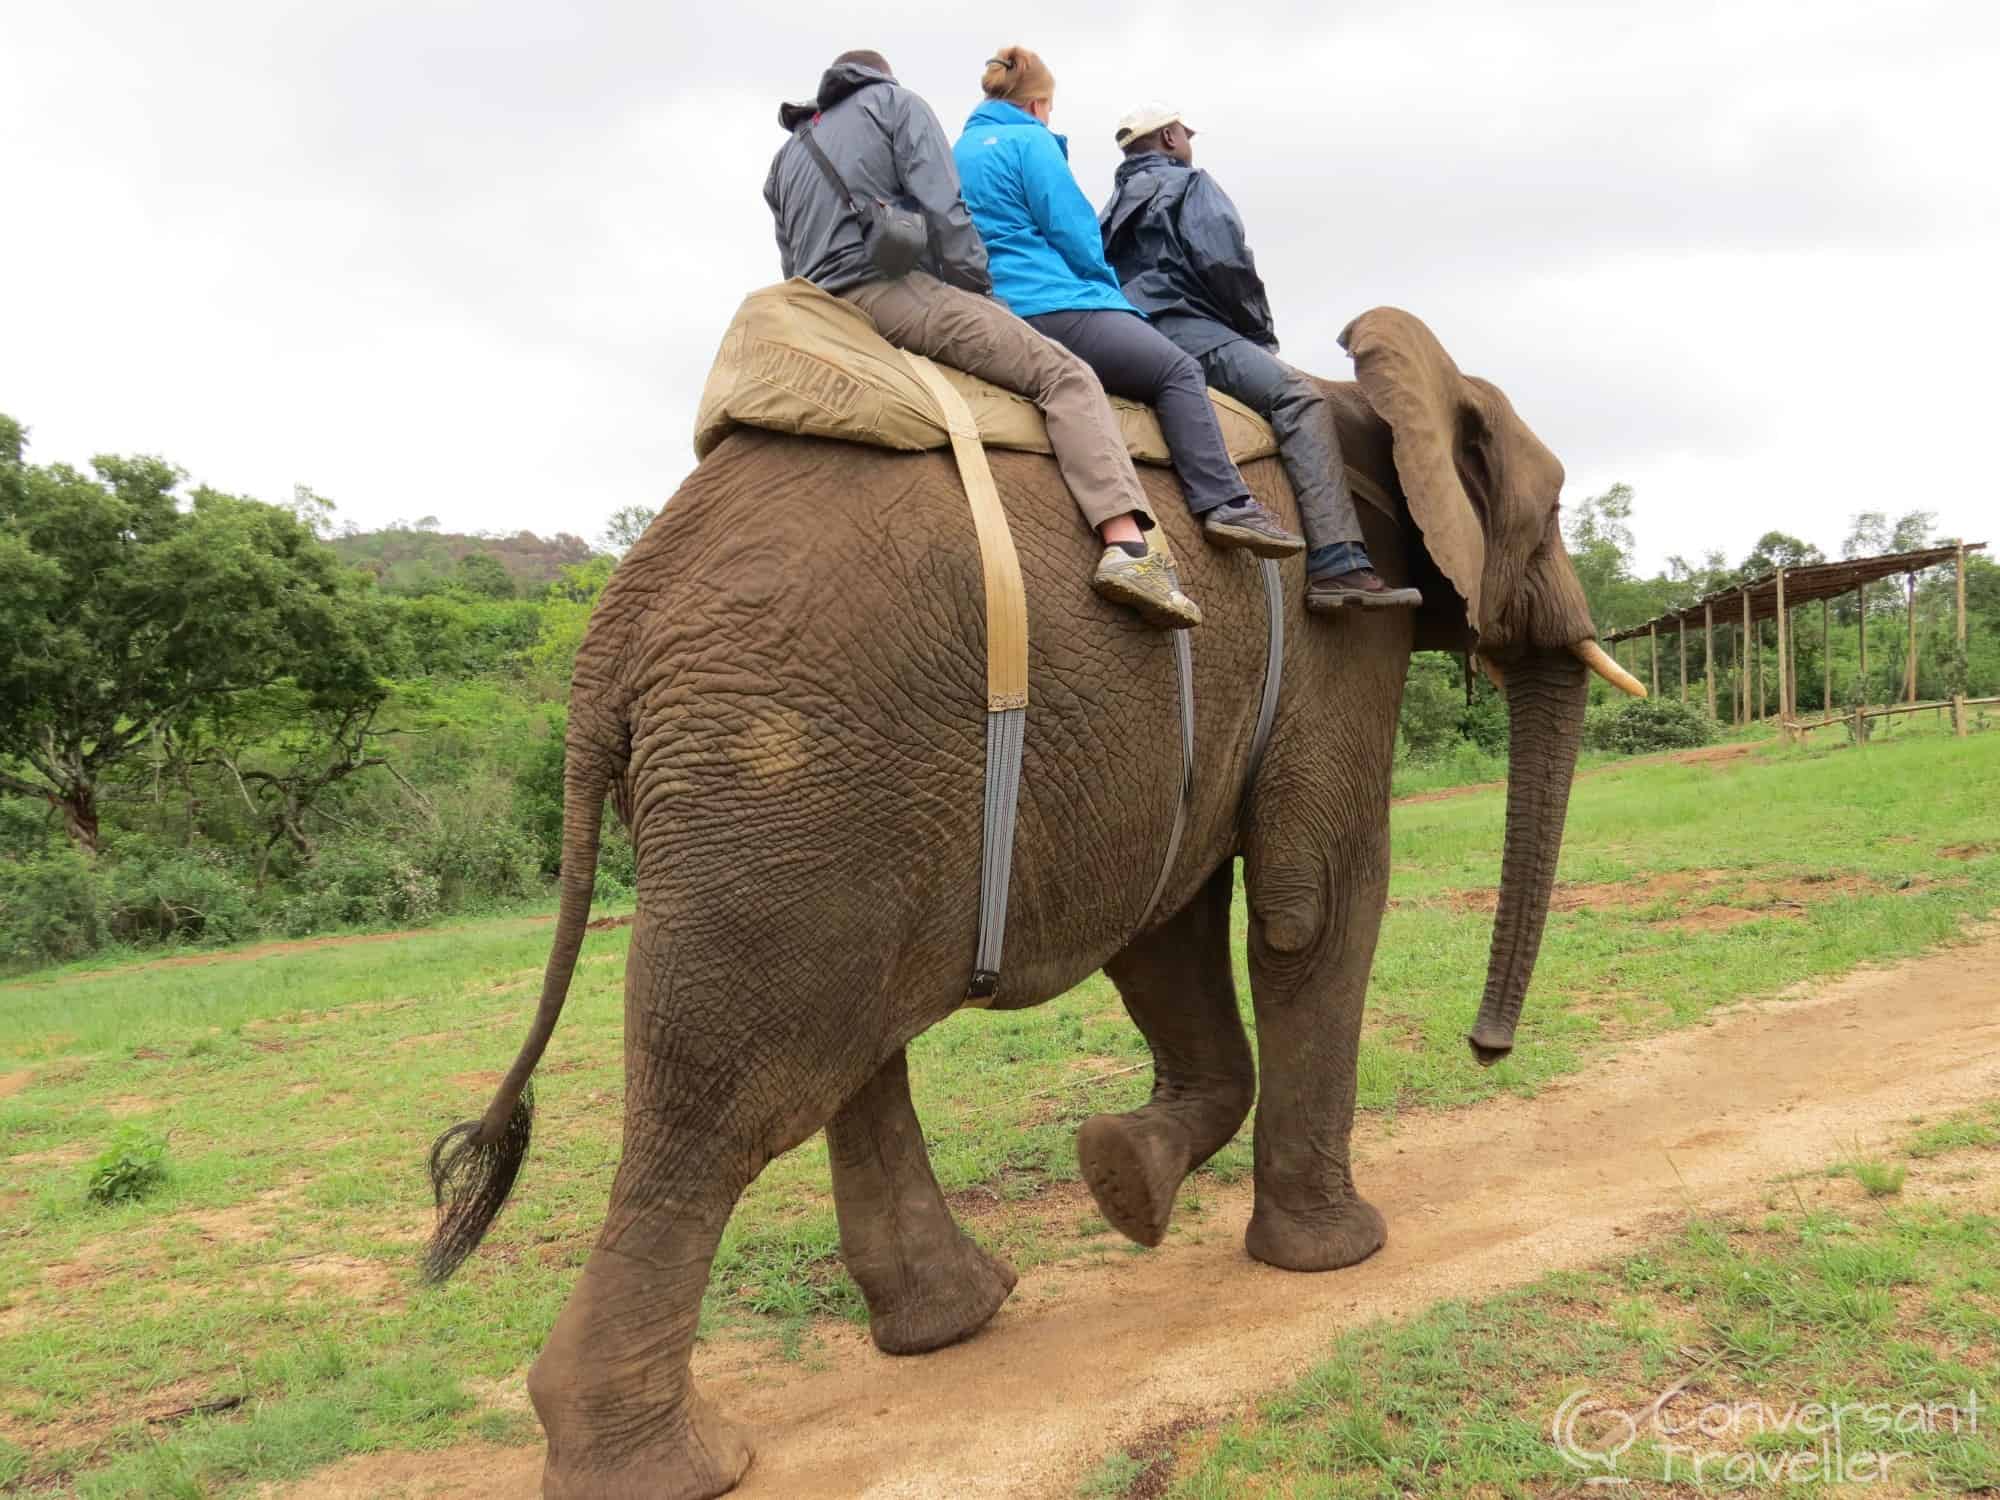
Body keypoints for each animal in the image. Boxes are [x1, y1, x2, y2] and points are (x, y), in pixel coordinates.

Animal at [420, 306, 1640, 1499]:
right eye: (1552, 511)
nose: (1485, 1047)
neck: (1349, 393)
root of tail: (607, 642)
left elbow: (1167, 924)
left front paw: (1122, 1180)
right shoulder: (1338, 631)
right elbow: (1314, 901)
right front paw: (1337, 1255)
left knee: (847, 1053)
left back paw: (951, 1322)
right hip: (779, 771)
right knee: (727, 1096)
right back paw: (672, 1468)